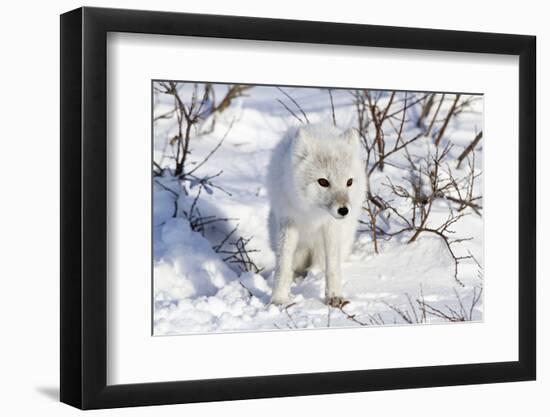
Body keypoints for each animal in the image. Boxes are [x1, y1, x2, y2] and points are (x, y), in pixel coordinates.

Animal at [268, 123, 366, 306]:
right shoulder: (288, 221)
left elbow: (333, 267)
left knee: (319, 267)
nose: (344, 210)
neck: (312, 213)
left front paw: (334, 296)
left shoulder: (331, 226)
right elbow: (283, 265)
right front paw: (279, 299)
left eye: (349, 182)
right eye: (323, 182)